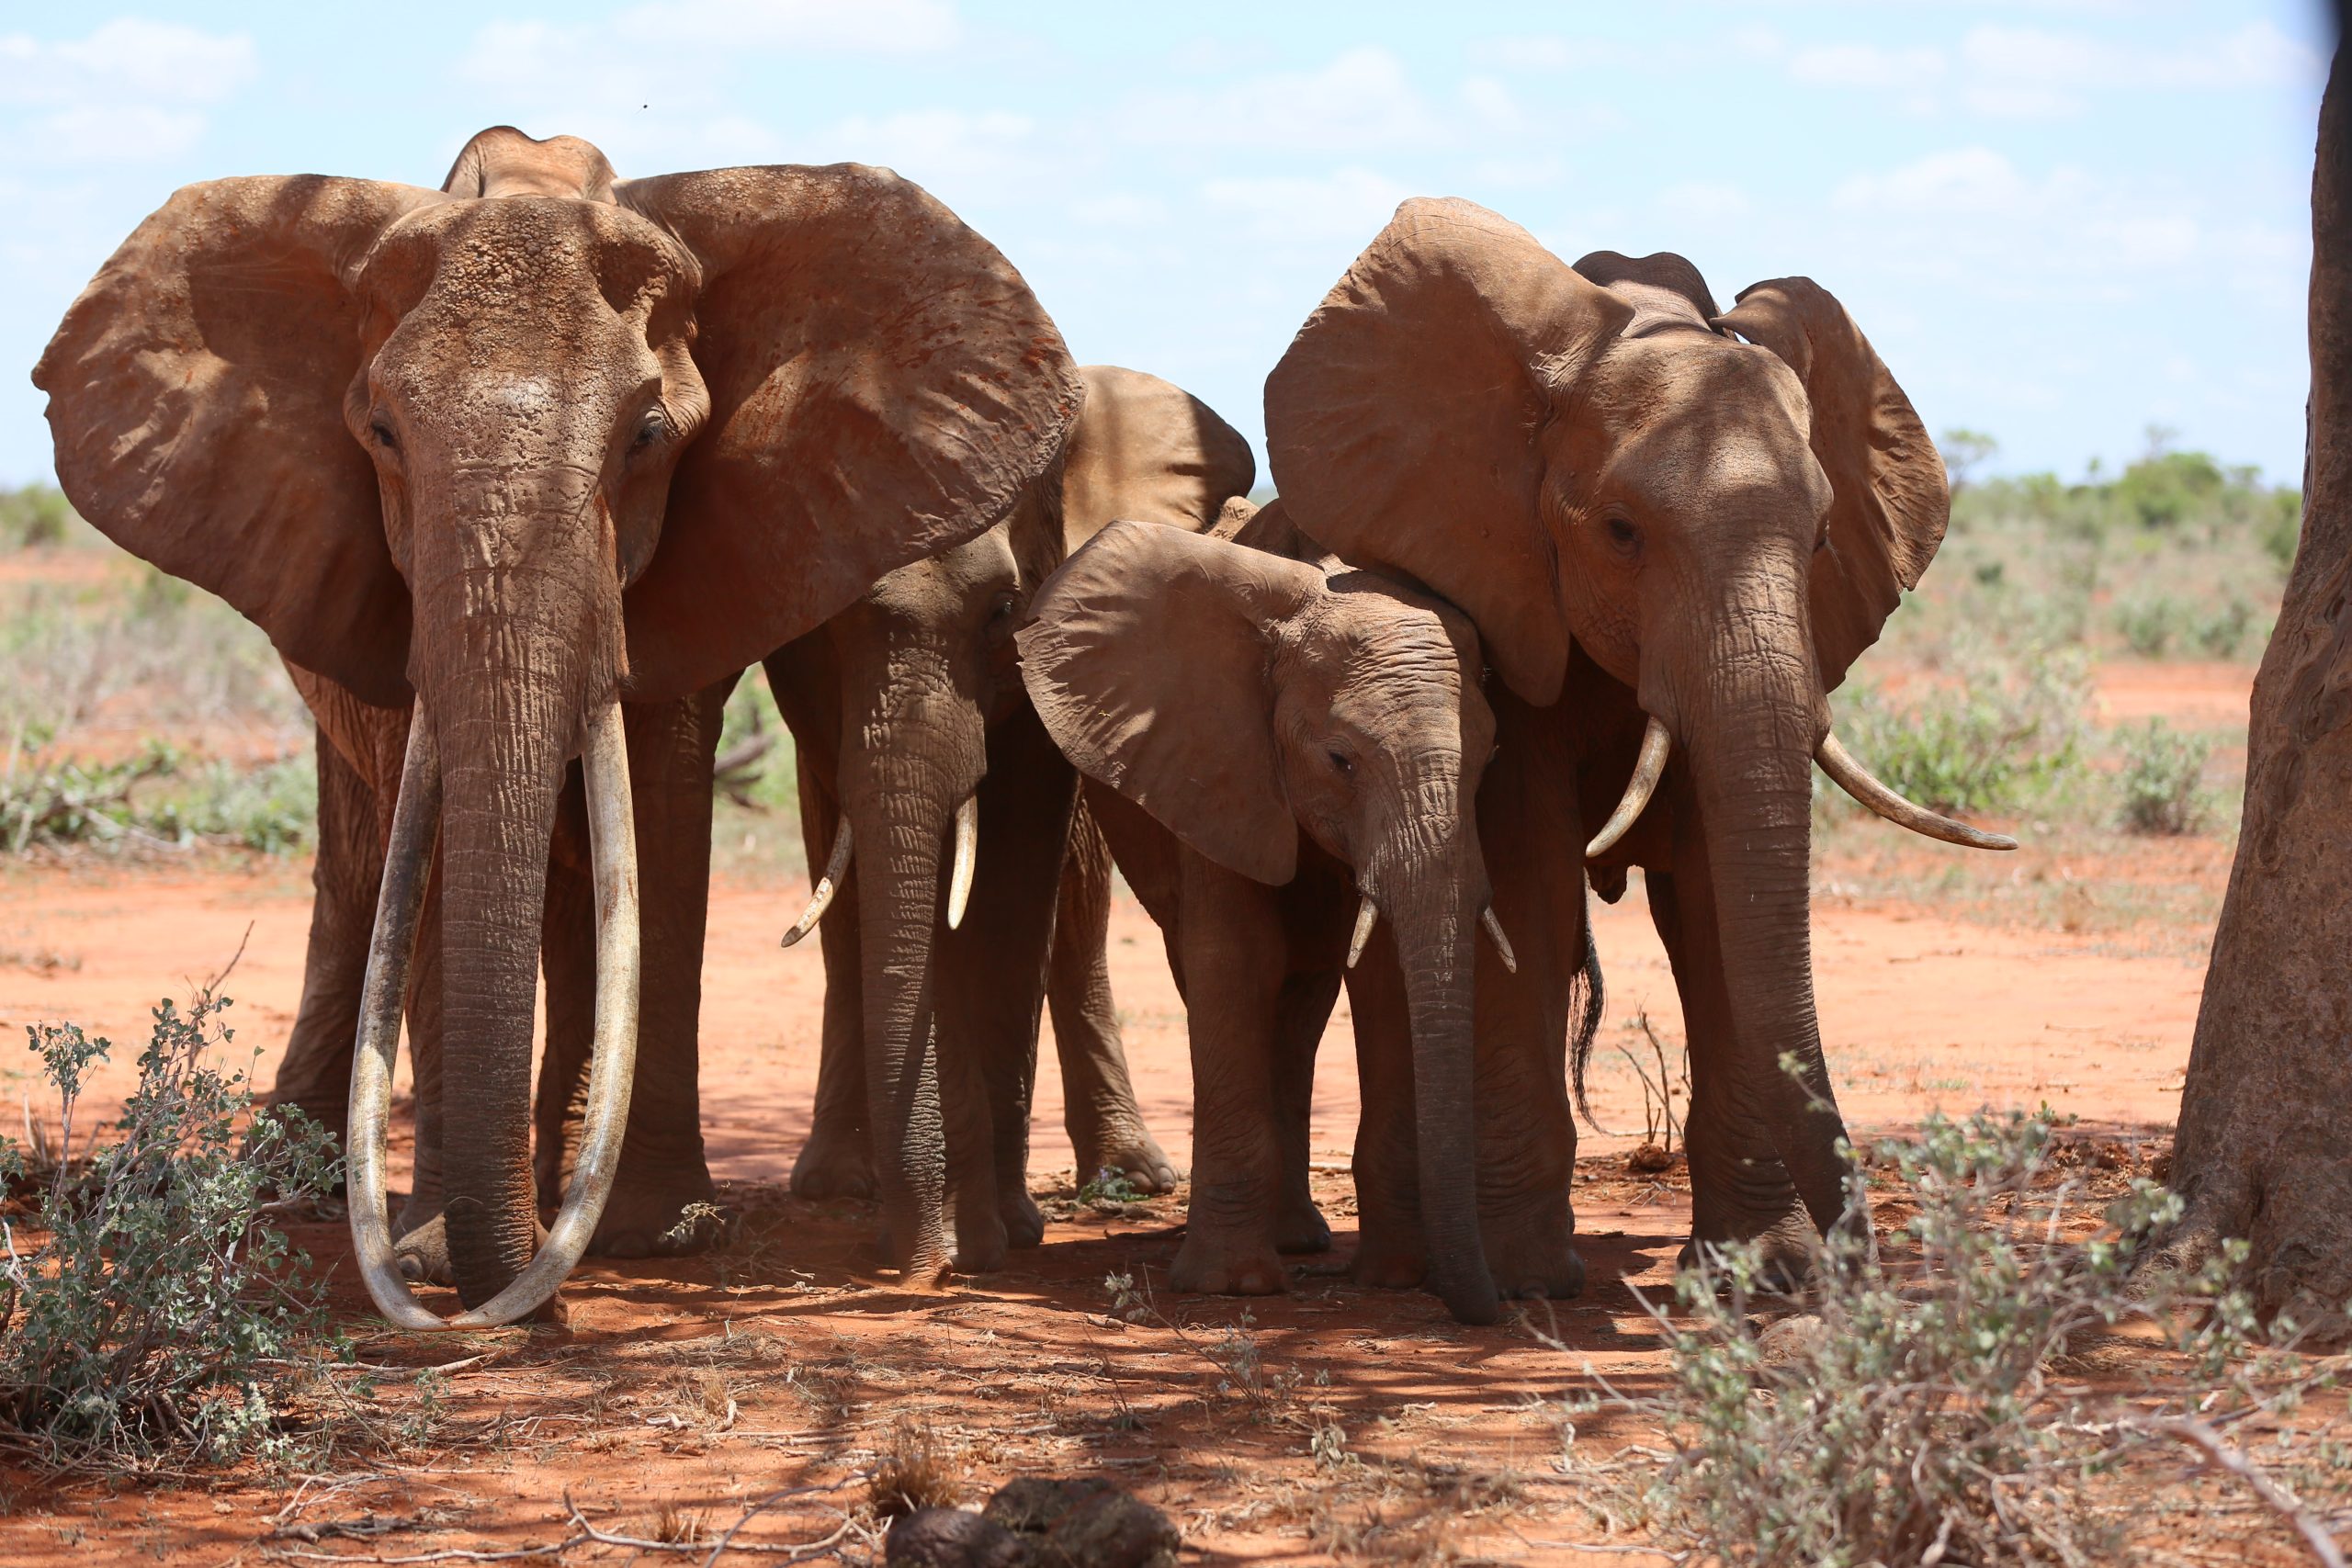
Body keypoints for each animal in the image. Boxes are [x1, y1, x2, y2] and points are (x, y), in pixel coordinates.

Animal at [35, 124, 1081, 1322]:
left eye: (648, 437)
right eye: (381, 433)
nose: (525, 1300)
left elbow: (661, 814)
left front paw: (657, 1235)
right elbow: (432, 841)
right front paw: (438, 1256)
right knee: (357, 864)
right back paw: (297, 1185)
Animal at [759, 364, 1252, 1272]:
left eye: (1002, 610)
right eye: (833, 621)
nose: (921, 1262)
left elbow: (1016, 874)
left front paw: (1002, 1234)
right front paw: (968, 1236)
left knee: (1079, 904)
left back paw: (1136, 1177)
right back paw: (842, 1183)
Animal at [1020, 501, 1515, 1324]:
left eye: (1489, 761)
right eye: (1340, 759)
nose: (1495, 1305)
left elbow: (1383, 975)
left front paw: (1398, 1277)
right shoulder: (1217, 759)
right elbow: (1236, 958)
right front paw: (1230, 1287)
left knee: (1304, 1000)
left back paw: (1298, 1239)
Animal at [1261, 199, 2012, 1274]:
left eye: (1823, 537)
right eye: (1621, 532)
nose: (1859, 1263)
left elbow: (1713, 893)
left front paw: (1763, 1270)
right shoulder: (1496, 593)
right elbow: (1525, 874)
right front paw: (1531, 1277)